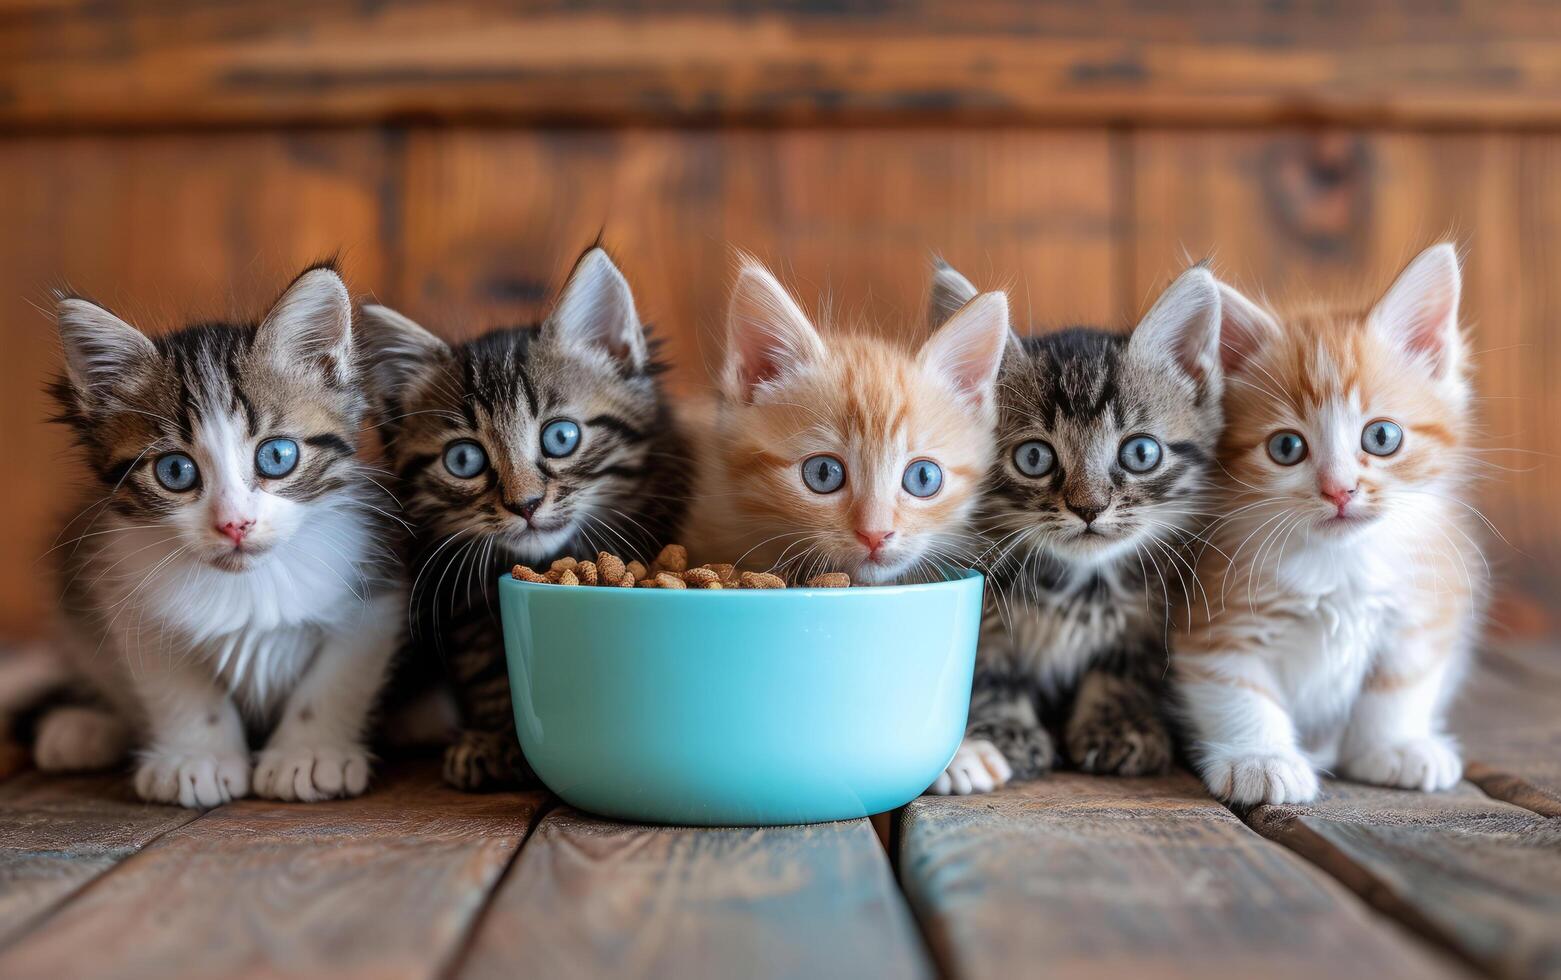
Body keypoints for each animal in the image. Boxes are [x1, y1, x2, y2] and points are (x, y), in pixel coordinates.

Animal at [36, 268, 405, 811]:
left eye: (277, 456)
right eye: (175, 471)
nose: (235, 524)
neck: (247, 585)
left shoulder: (376, 591)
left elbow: (336, 679)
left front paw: (309, 754)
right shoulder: (128, 599)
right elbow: (181, 688)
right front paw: (198, 758)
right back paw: (84, 727)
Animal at [363, 248, 689, 792]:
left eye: (561, 437)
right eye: (464, 460)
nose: (526, 504)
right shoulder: (463, 598)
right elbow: (487, 667)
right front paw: (496, 739)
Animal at [917, 262, 1223, 795]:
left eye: (1140, 452)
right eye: (1034, 458)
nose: (1088, 507)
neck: (1076, 586)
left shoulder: (1148, 615)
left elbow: (1122, 670)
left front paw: (1120, 726)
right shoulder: (988, 617)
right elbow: (990, 674)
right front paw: (1006, 735)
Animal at [1173, 243, 1479, 805]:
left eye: (1382, 437)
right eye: (1286, 447)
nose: (1340, 490)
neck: (1339, 562)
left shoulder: (1422, 606)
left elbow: (1400, 686)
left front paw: (1395, 746)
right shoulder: (1214, 614)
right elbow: (1238, 690)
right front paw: (1261, 758)